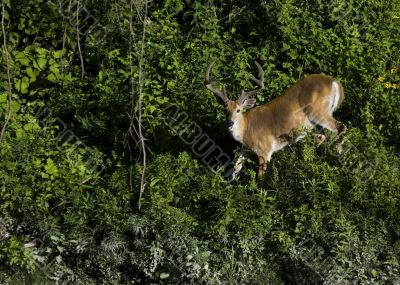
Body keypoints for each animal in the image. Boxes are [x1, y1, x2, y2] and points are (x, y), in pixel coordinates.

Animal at [205, 60, 346, 179]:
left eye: (238, 110)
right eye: (225, 110)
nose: (230, 122)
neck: (246, 129)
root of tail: (334, 82)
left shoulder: (265, 150)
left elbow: (260, 176)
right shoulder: (246, 148)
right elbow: (236, 167)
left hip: (318, 111)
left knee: (340, 127)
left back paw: (339, 158)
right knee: (322, 136)